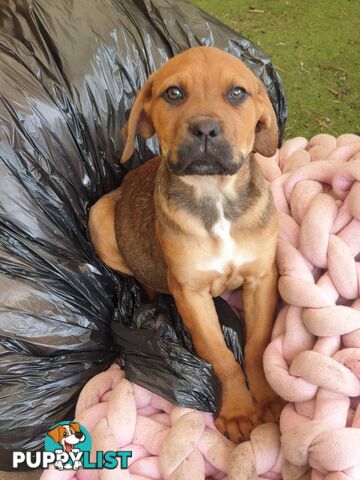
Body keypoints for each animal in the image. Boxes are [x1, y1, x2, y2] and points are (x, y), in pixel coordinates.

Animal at [89, 47, 282, 444]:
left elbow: (257, 343)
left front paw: (268, 398)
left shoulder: (262, 278)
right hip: (99, 219)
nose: (205, 129)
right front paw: (238, 410)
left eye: (237, 93)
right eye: (174, 93)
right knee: (145, 280)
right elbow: (220, 355)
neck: (215, 197)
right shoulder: (191, 293)